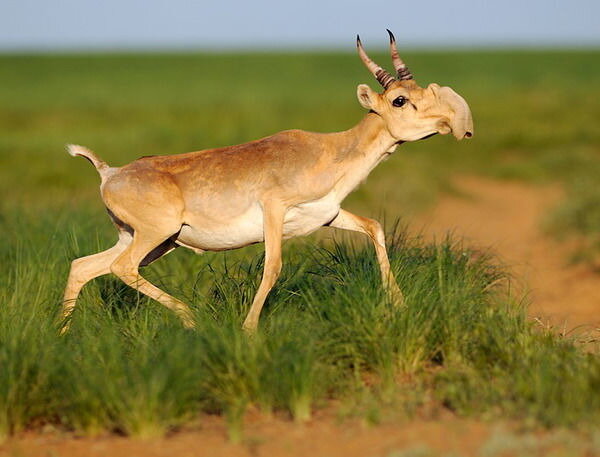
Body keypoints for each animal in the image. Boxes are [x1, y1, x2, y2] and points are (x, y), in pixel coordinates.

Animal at [62, 31, 474, 332]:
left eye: (421, 90)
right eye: (400, 100)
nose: (453, 123)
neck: (329, 150)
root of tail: (110, 172)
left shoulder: (328, 215)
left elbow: (375, 227)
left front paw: (399, 305)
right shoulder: (274, 211)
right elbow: (273, 265)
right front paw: (248, 331)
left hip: (150, 241)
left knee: (83, 266)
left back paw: (62, 336)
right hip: (156, 236)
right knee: (121, 268)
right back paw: (190, 317)